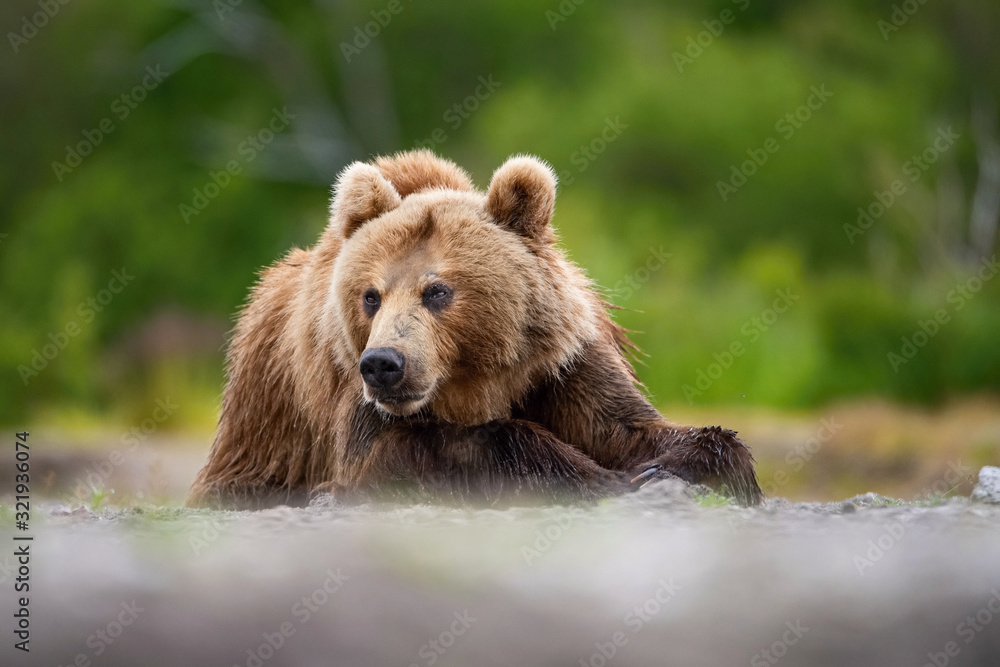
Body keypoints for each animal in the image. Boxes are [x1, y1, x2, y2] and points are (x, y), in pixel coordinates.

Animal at [188, 150, 763, 509]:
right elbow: (397, 459)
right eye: (370, 296)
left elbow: (628, 428)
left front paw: (678, 465)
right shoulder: (352, 399)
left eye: (437, 291)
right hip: (263, 421)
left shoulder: (559, 367)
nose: (384, 364)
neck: (473, 383)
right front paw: (607, 478)